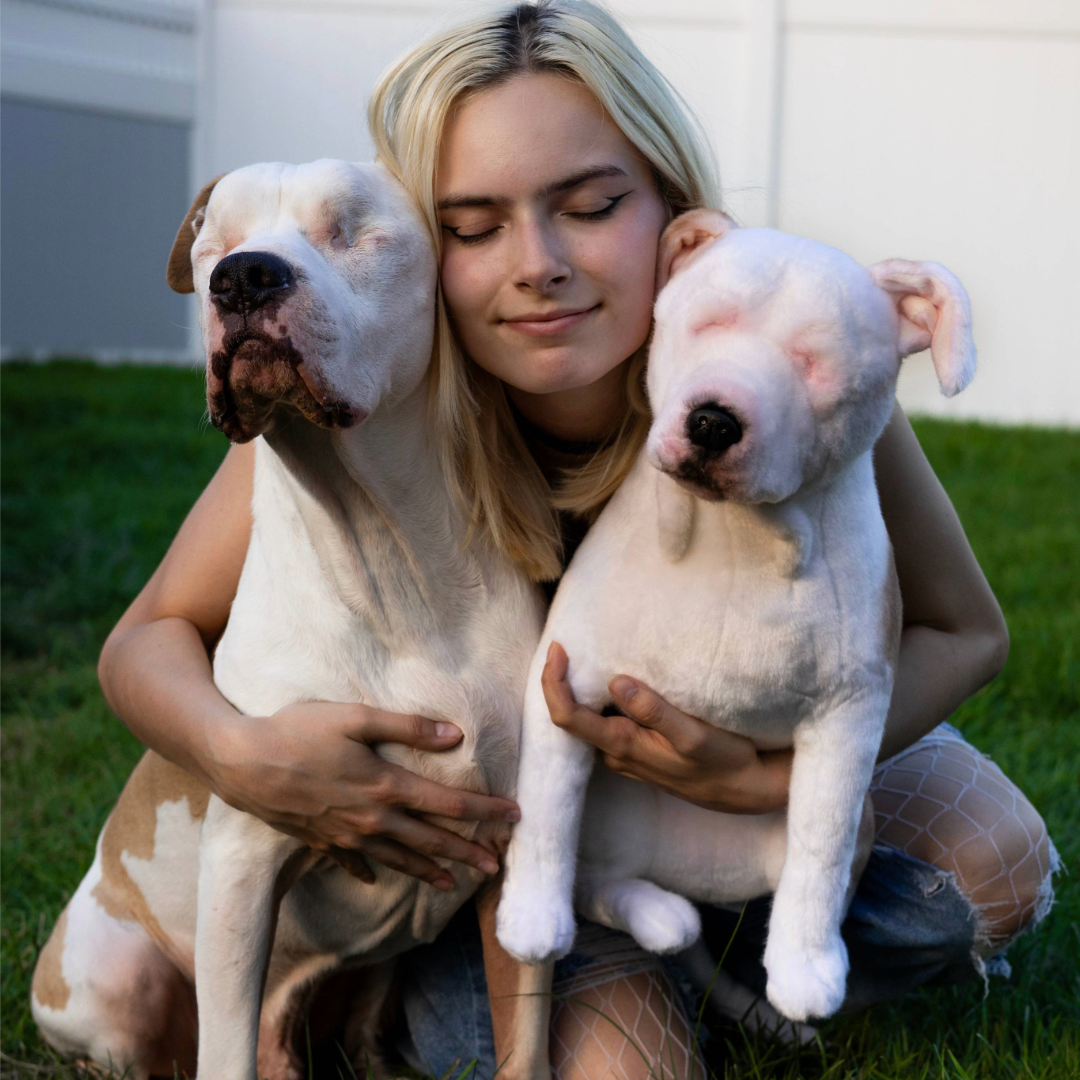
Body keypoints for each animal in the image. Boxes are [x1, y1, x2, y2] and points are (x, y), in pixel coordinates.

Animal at [29, 159, 552, 1080]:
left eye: (351, 230)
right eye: (216, 241)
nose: (242, 278)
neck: (389, 562)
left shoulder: (520, 854)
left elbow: (525, 1046)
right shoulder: (245, 858)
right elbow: (226, 1053)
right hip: (112, 987)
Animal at [498, 208, 980, 1019]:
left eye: (815, 363)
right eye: (707, 323)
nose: (715, 422)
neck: (734, 537)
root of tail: (684, 870)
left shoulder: (851, 716)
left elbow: (821, 841)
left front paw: (806, 968)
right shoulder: (564, 682)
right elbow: (545, 806)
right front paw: (531, 918)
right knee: (592, 874)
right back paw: (657, 916)